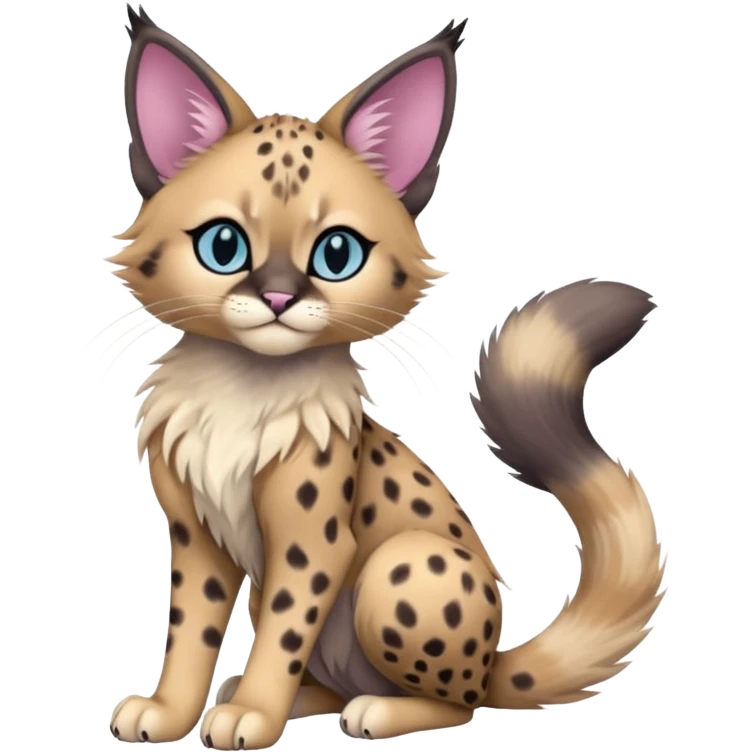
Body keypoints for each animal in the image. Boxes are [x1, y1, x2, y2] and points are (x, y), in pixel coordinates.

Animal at [107, 5, 666, 749]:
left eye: (336, 254)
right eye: (223, 246)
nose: (278, 298)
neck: (242, 394)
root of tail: (493, 660)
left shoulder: (314, 544)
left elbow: (281, 631)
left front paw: (253, 716)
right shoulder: (197, 539)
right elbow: (188, 633)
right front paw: (171, 711)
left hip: (398, 568)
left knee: (460, 703)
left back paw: (378, 711)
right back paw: (305, 698)